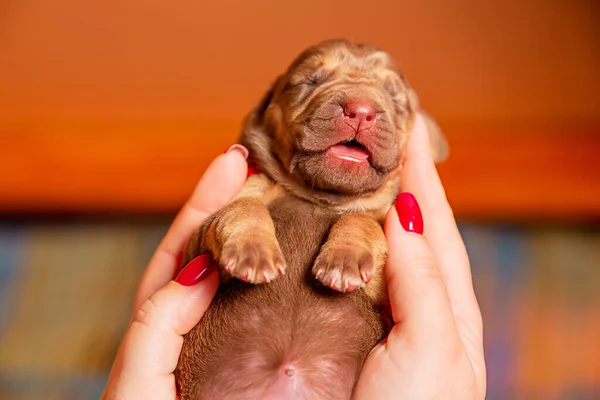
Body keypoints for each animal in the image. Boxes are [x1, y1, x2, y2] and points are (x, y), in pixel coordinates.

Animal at [176, 38, 448, 400]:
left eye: (393, 95)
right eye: (311, 80)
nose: (361, 109)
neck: (321, 198)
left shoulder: (383, 291)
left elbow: (361, 221)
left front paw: (344, 260)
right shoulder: (198, 248)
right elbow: (243, 208)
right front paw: (253, 252)